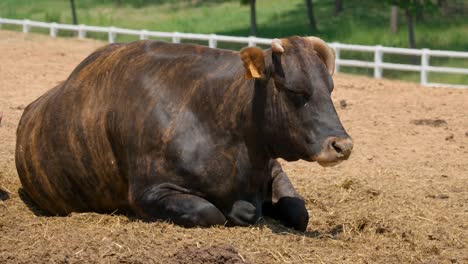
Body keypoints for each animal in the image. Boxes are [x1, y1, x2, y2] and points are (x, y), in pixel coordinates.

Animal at [15, 35, 352, 231]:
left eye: (330, 88)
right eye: (295, 91)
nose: (342, 145)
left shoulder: (273, 169)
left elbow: (299, 211)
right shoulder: (149, 192)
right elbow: (211, 212)